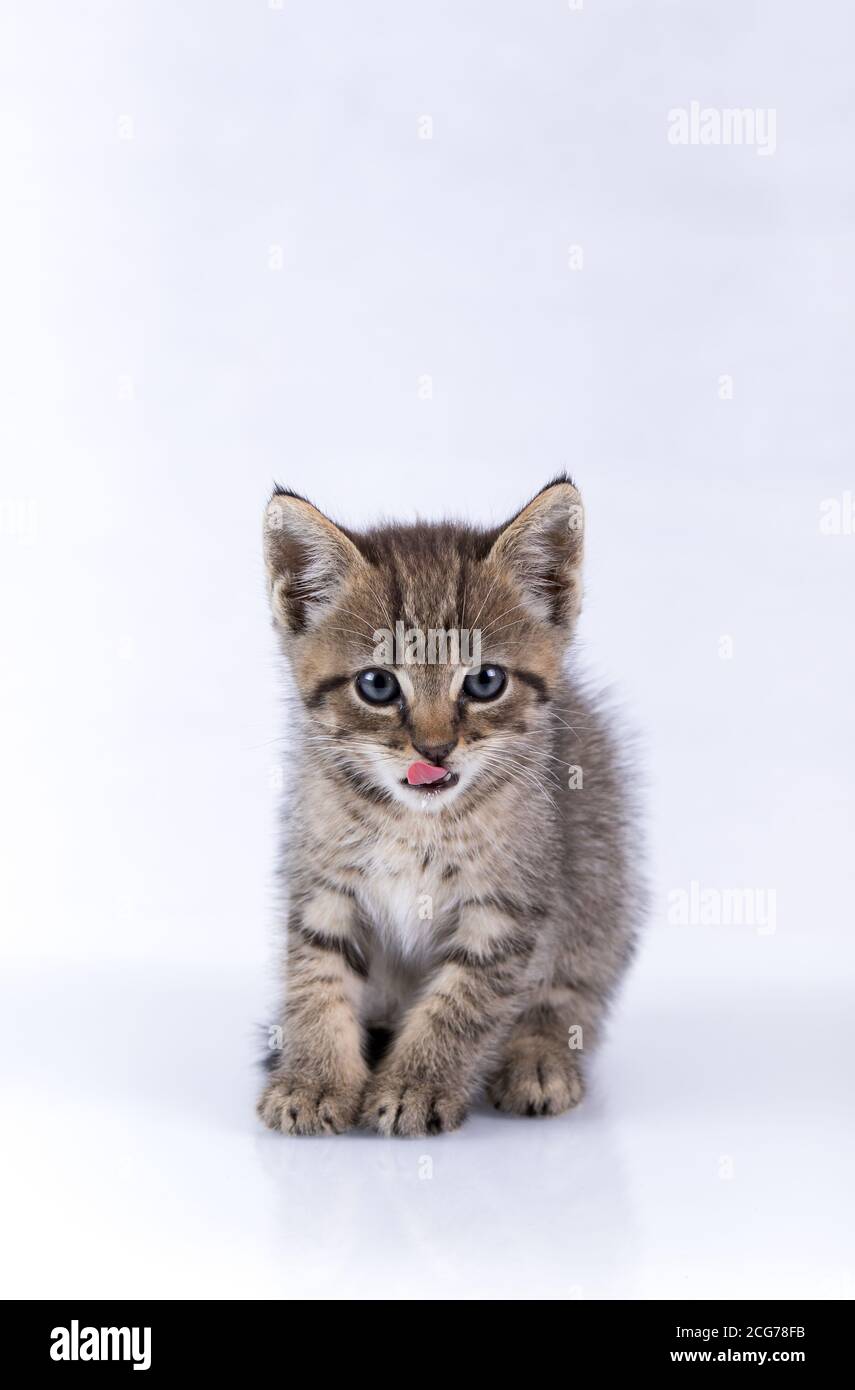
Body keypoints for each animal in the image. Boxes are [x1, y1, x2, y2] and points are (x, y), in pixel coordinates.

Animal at [257, 478, 645, 1139]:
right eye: (378, 686)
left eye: (485, 681)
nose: (433, 750)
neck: (415, 822)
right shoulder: (323, 884)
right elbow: (316, 980)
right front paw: (312, 1080)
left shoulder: (509, 906)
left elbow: (462, 1003)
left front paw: (416, 1084)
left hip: (601, 878)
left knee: (572, 995)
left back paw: (539, 1059)